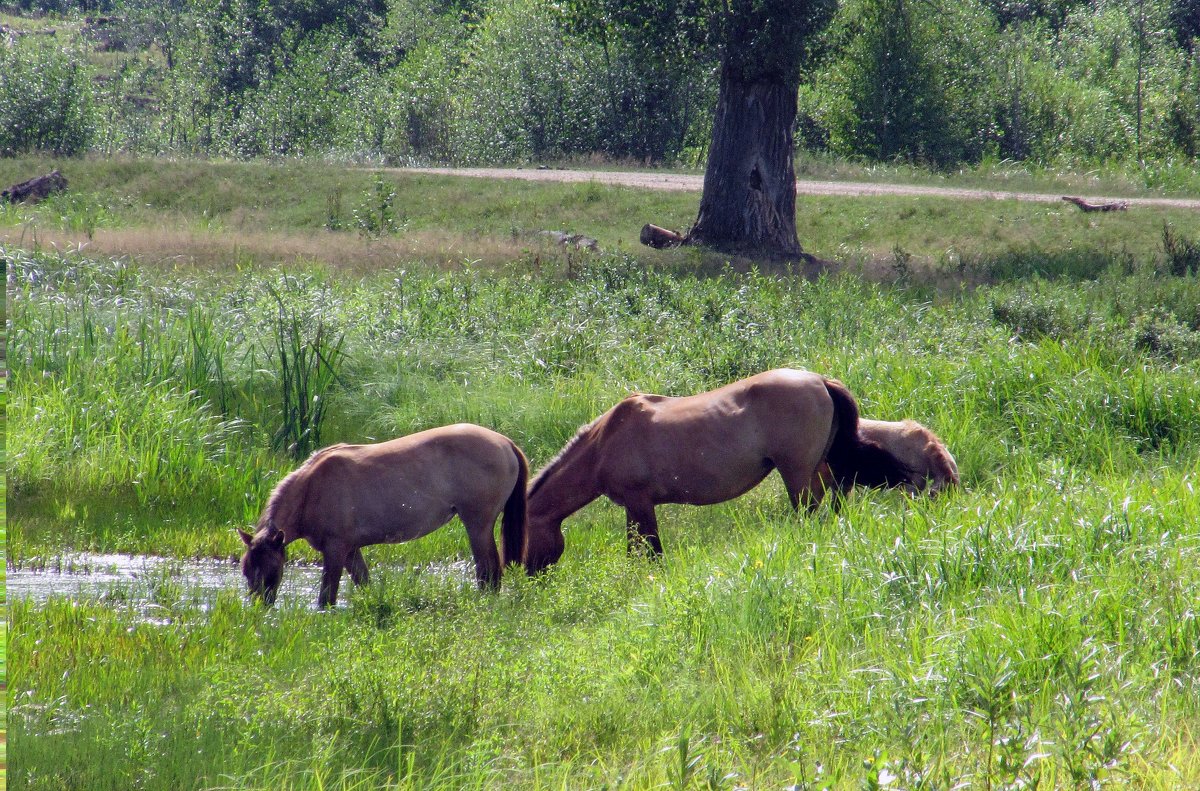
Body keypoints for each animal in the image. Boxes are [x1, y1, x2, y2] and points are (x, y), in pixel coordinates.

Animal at [241, 424, 528, 609]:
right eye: (246, 570)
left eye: (272, 569)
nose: (260, 608)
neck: (312, 489)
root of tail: (505, 443)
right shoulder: (350, 550)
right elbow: (364, 584)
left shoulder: (335, 550)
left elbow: (327, 597)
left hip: (478, 525)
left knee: (488, 572)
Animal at [523, 367, 916, 571]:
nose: (530, 576)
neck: (604, 442)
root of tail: (820, 381)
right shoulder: (635, 509)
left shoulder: (639, 505)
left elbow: (649, 552)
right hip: (823, 468)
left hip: (798, 475)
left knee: (810, 513)